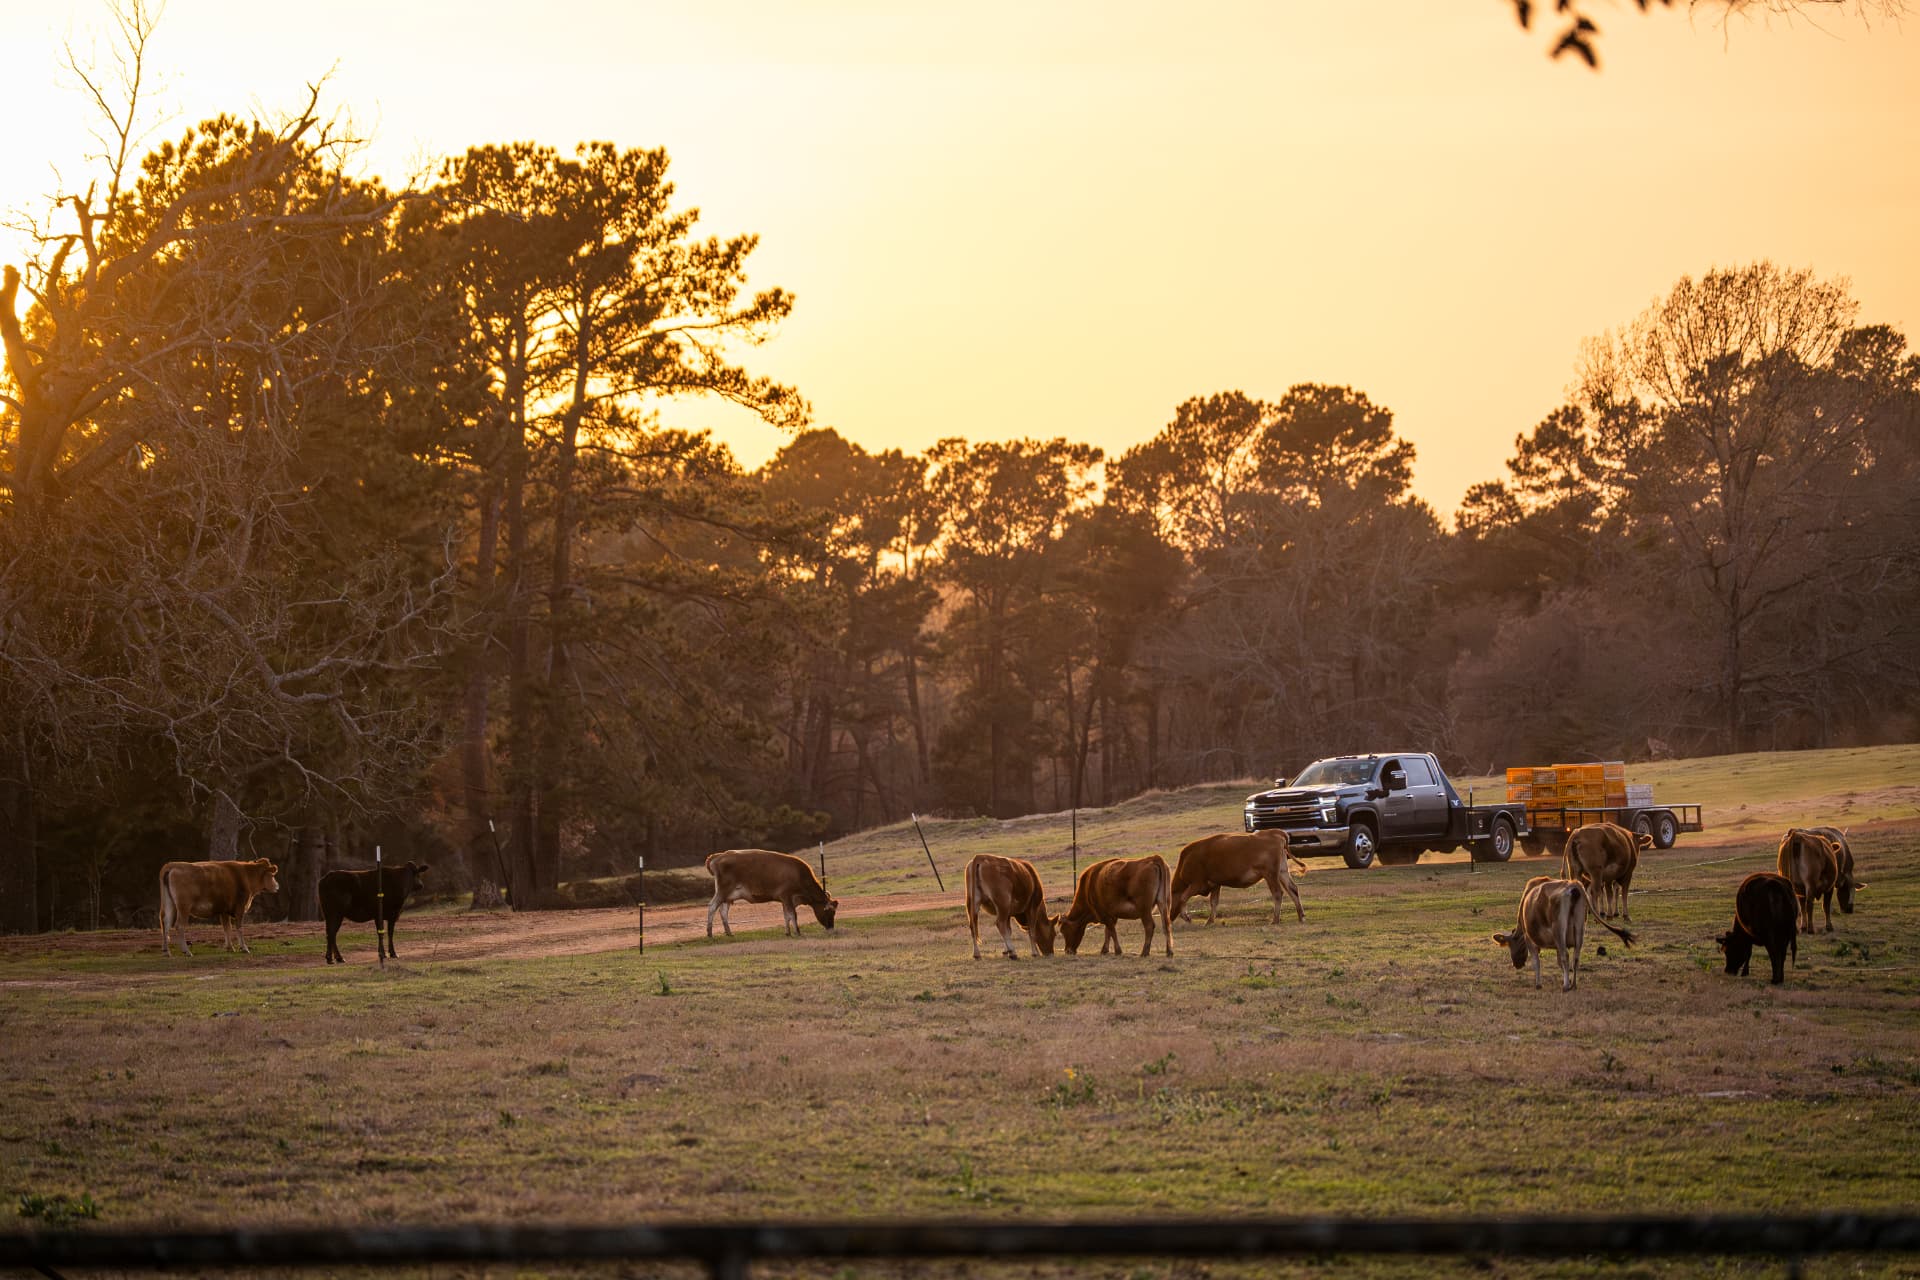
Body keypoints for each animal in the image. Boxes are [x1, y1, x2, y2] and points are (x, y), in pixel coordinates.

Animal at [705, 849, 838, 938]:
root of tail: (718, 855)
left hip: (728, 896)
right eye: (830, 912)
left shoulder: (785, 900)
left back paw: (729, 933)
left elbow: (786, 916)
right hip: (723, 891)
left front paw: (788, 932)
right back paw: (710, 933)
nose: (831, 928)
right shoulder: (787, 896)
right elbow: (793, 915)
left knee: (723, 911)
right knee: (712, 907)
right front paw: (798, 932)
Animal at [1167, 831, 1305, 927]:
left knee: (1278, 893)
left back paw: (1275, 920)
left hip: (1270, 875)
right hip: (1282, 872)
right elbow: (1214, 902)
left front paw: (1187, 917)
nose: (1168, 918)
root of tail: (1275, 832)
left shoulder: (1196, 884)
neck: (1187, 859)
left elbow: (1183, 898)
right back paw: (1301, 916)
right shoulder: (1215, 884)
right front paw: (1210, 921)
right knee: (1293, 889)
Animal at [1491, 875, 1635, 991]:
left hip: (1559, 929)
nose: (1516, 964)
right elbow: (1559, 962)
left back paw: (1566, 986)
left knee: (1566, 956)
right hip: (1580, 927)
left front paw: (1539, 984)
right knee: (1576, 957)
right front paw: (1568, 980)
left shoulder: (1529, 939)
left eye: (1511, 945)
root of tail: (1574, 885)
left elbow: (1537, 962)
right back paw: (1574, 984)